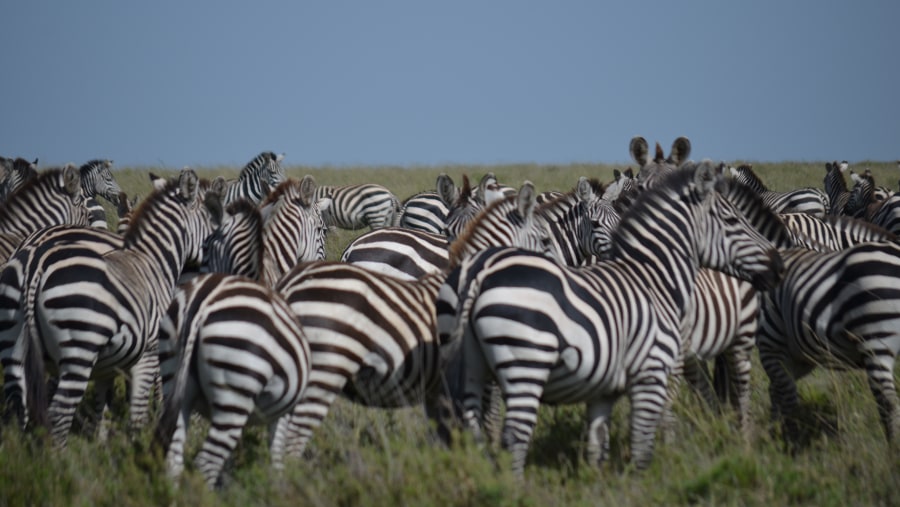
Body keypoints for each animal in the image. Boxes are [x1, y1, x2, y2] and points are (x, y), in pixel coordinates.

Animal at [17, 168, 223, 448]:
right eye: (212, 225)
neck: (154, 260)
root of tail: (37, 269)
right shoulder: (149, 352)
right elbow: (137, 412)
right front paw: (137, 447)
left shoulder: (108, 364)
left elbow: (100, 408)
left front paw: (100, 443)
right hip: (79, 350)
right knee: (59, 413)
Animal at [153, 272, 312, 490]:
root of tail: (202, 300)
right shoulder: (284, 411)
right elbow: (276, 456)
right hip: (235, 389)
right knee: (206, 464)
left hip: (174, 375)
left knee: (174, 458)